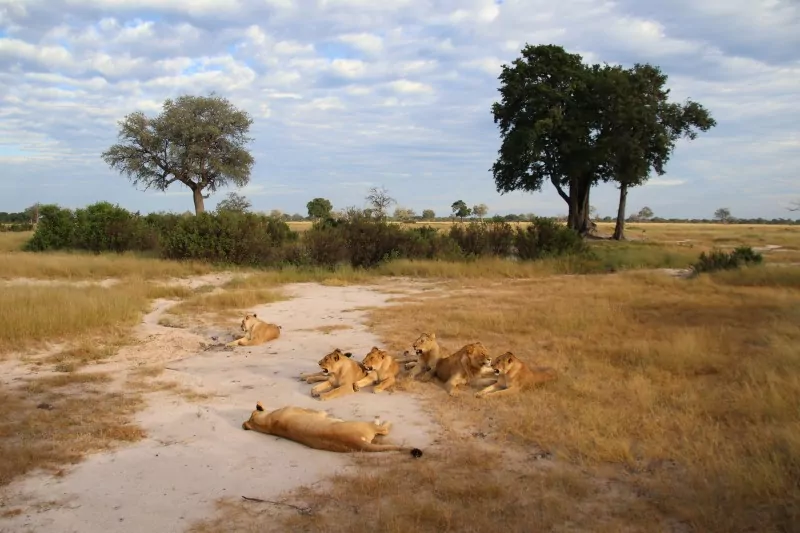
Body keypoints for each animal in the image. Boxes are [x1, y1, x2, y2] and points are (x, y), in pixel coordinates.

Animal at [242, 401, 423, 456]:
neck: (267, 423)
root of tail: (357, 443)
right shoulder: (315, 412)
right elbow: (320, 411)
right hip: (365, 425)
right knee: (383, 429)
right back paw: (383, 420)